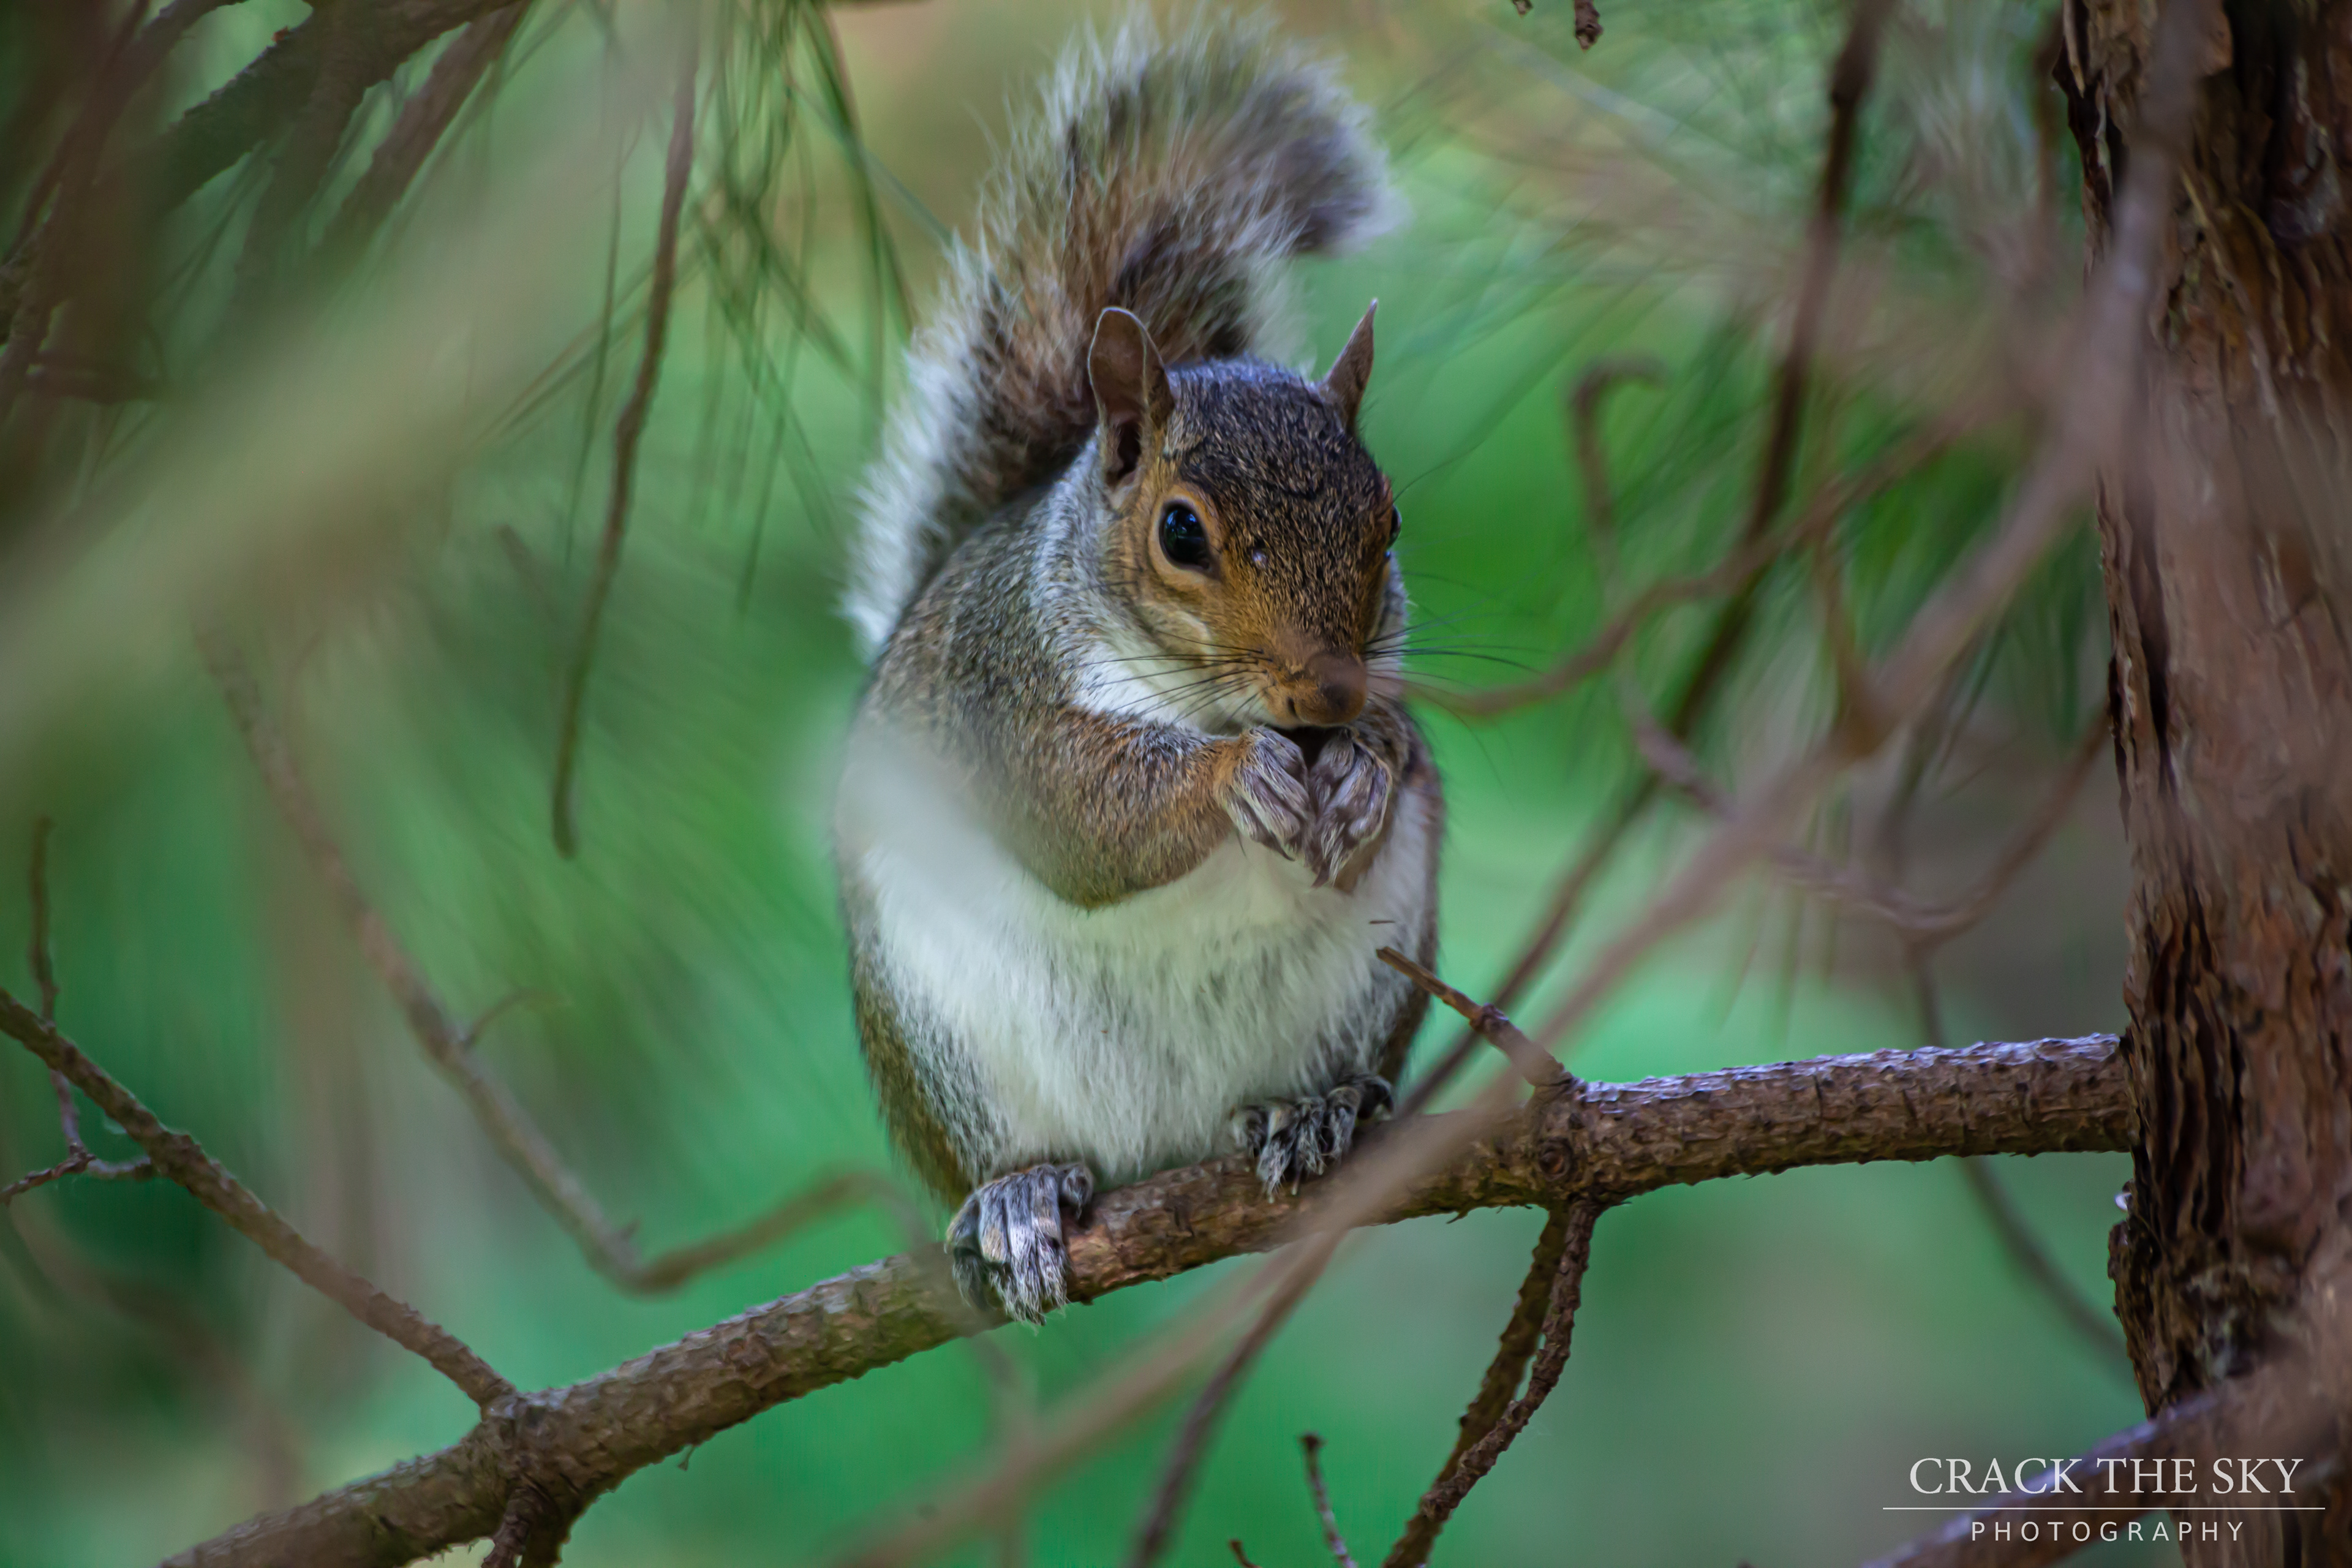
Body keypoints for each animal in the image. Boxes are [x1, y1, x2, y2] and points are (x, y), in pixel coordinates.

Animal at [833, 12, 1442, 1324]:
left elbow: (1405, 751)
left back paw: (1314, 1110)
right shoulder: (1002, 695)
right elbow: (1079, 817)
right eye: (1180, 532)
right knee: (1014, 1153)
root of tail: (1169, 1148)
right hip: (948, 1041)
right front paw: (1238, 780)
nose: (1331, 698)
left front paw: (1366, 773)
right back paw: (1016, 1200)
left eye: (1389, 522)